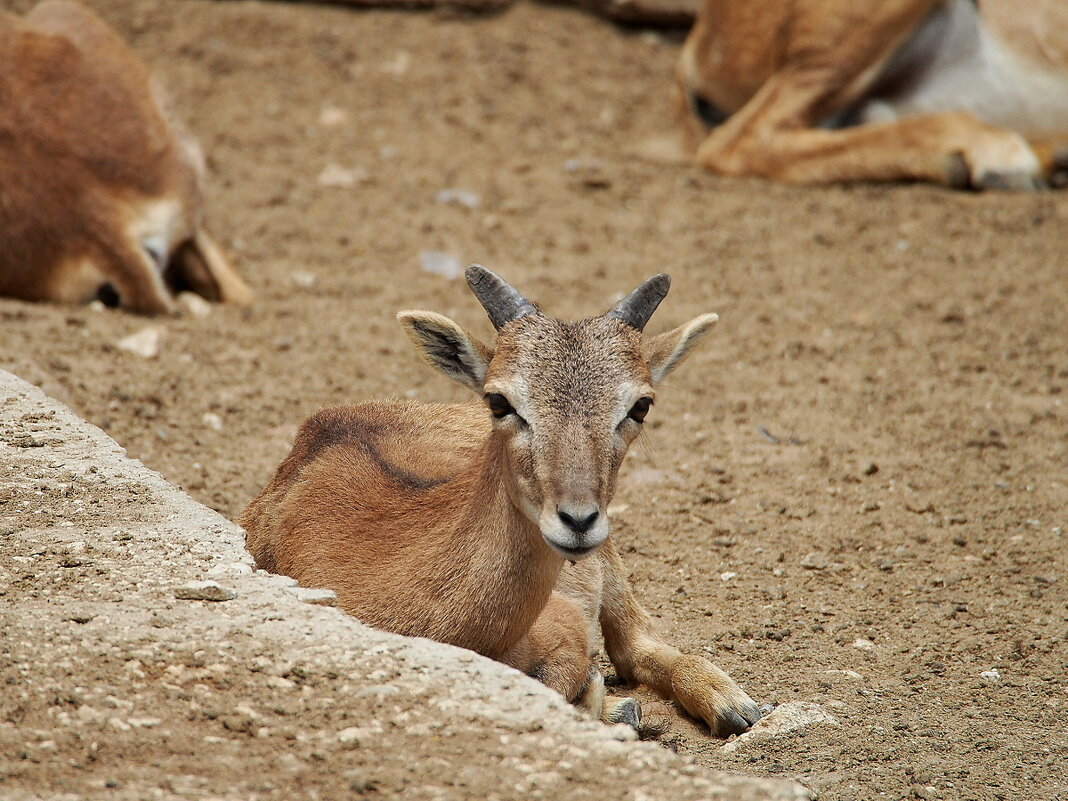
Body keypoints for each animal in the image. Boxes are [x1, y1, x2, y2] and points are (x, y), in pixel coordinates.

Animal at [240, 267, 760, 739]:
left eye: (641, 405)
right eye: (499, 400)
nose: (577, 520)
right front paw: (615, 709)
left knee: (637, 641)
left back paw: (732, 704)